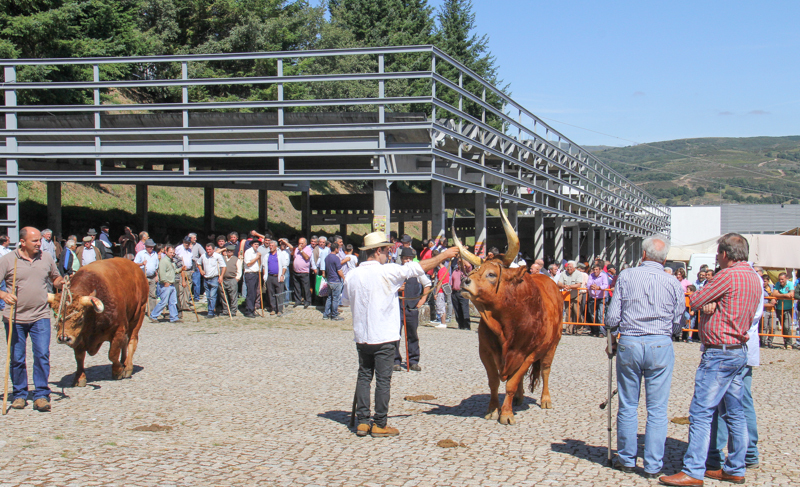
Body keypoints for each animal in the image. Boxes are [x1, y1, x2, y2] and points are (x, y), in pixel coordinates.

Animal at [48, 258, 148, 386]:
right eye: (55, 315)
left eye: (80, 318)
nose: (64, 338)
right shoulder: (79, 336)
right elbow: (79, 357)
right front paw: (79, 378)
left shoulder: (119, 329)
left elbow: (112, 353)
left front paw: (118, 371)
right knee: (125, 343)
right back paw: (124, 362)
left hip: (138, 314)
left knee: (132, 340)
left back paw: (128, 367)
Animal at [456, 212, 564, 426]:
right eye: (473, 271)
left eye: (491, 274)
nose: (465, 281)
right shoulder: (485, 351)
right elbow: (494, 382)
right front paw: (492, 410)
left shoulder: (529, 353)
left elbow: (512, 383)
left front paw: (506, 414)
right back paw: (520, 398)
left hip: (552, 345)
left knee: (545, 370)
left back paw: (545, 399)